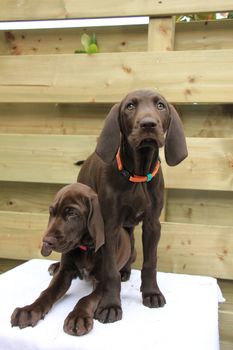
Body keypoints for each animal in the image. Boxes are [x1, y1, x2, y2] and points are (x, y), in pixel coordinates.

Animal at [10, 182, 132, 334]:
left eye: (72, 214)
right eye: (51, 213)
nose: (46, 241)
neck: (85, 248)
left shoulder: (102, 280)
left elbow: (86, 299)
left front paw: (78, 317)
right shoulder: (65, 273)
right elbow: (47, 292)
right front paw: (30, 310)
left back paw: (124, 272)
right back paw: (55, 266)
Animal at [76, 89, 187, 322]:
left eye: (160, 105)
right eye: (130, 106)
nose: (148, 124)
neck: (138, 175)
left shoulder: (153, 224)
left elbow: (150, 263)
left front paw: (152, 293)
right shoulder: (109, 226)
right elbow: (109, 270)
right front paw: (110, 305)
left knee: (132, 246)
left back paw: (126, 271)